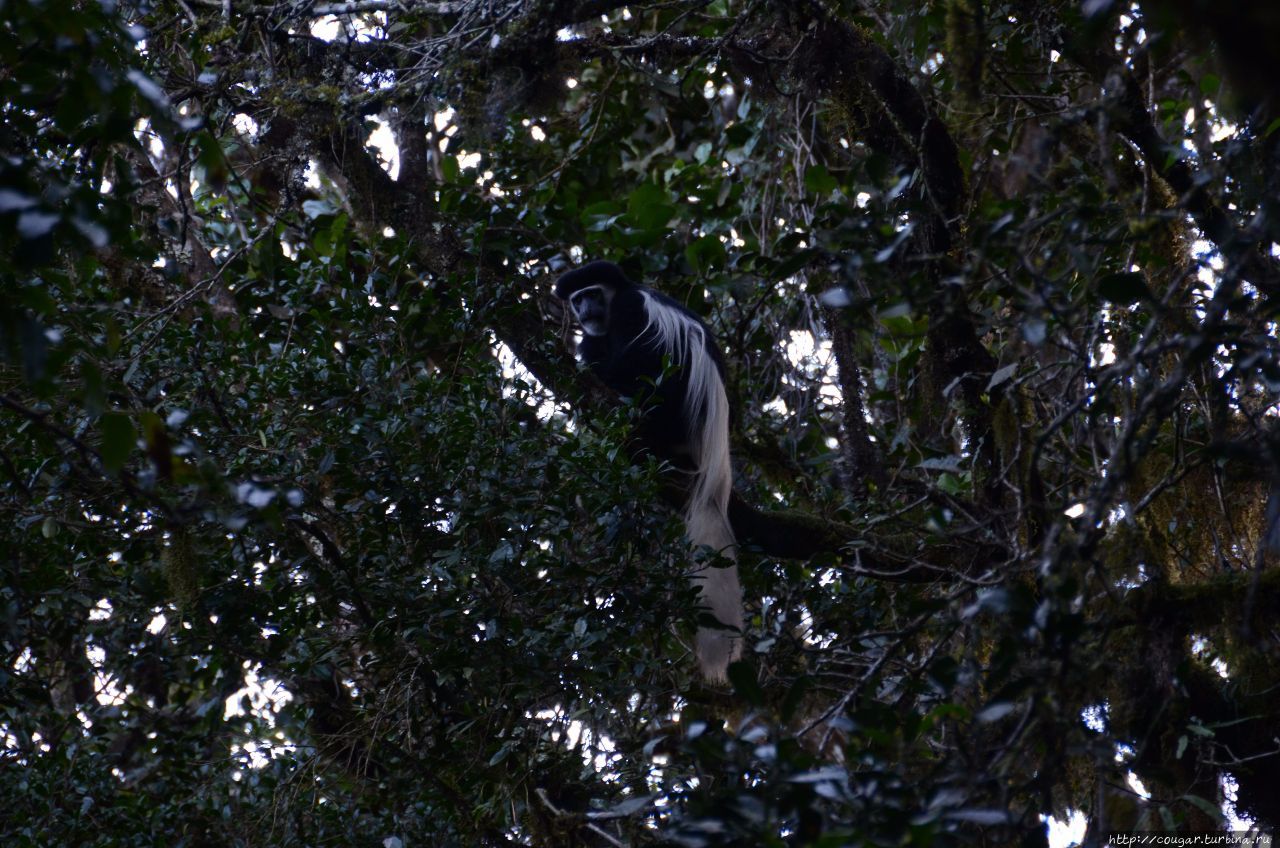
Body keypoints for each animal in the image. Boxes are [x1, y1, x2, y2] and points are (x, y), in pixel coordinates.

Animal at [555, 261, 747, 686]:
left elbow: (643, 352)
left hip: (680, 412)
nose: (586, 309)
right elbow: (591, 349)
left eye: (593, 293)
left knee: (656, 364)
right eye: (578, 299)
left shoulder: (631, 307)